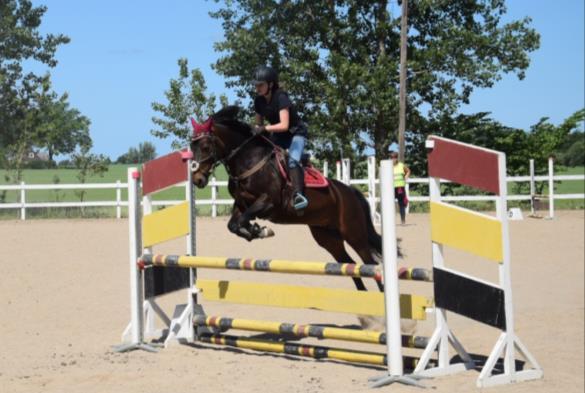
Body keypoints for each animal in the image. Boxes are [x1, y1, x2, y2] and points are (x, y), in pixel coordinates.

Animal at [189, 105, 386, 292]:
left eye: (206, 147)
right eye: (191, 147)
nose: (197, 179)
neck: (249, 161)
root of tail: (349, 191)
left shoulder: (269, 202)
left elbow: (243, 220)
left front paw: (259, 230)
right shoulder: (241, 204)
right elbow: (233, 225)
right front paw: (255, 231)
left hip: (353, 233)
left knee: (371, 264)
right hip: (327, 236)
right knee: (349, 264)